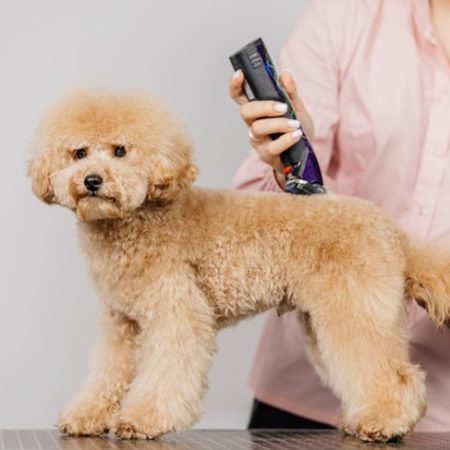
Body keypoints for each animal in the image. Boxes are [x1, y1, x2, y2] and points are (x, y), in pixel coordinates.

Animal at [27, 89, 450, 442]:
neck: (138, 220)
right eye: (79, 153)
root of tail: (393, 232)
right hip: (324, 321)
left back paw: (384, 422)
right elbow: (107, 373)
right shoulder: (121, 322)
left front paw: (142, 419)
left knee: (393, 374)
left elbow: (166, 371)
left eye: (120, 151)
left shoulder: (176, 311)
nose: (92, 180)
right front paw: (86, 415)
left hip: (355, 307)